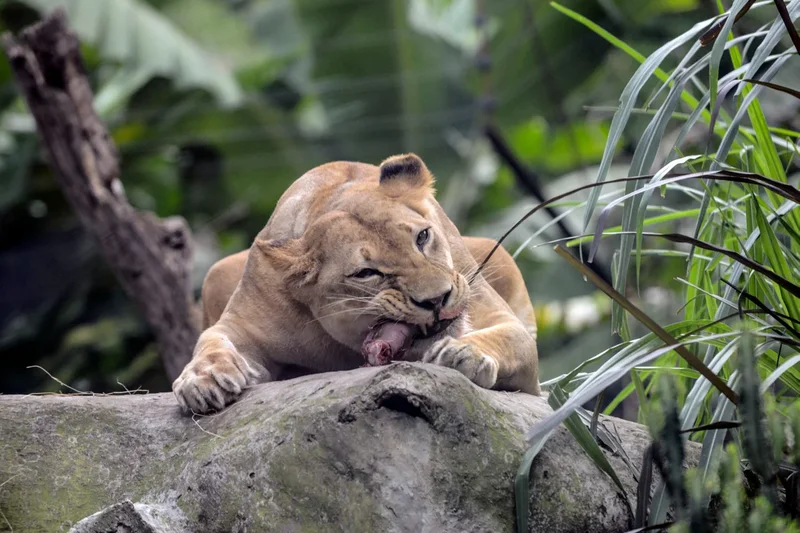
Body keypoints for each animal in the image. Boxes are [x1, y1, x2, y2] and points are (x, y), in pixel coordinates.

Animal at [173, 154, 540, 413]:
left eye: (422, 237)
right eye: (366, 273)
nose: (437, 299)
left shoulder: (507, 333)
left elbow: (510, 338)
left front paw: (464, 353)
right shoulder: (242, 324)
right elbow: (212, 342)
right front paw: (203, 379)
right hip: (217, 271)